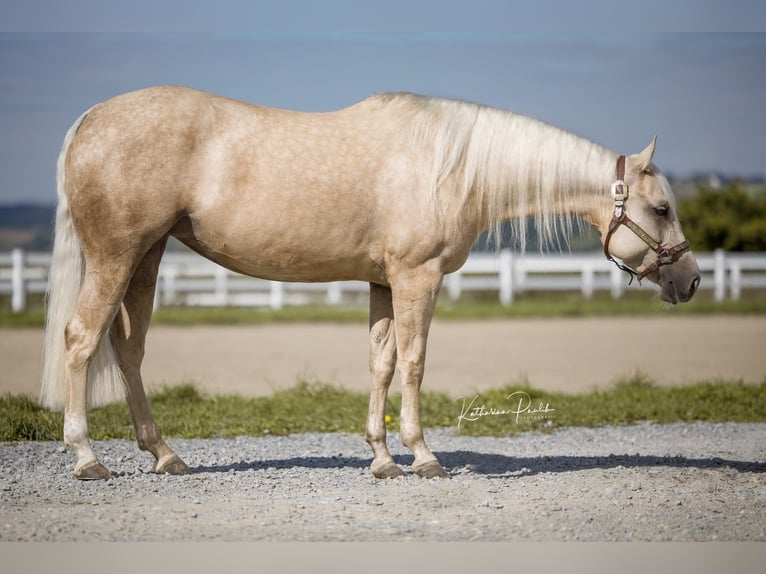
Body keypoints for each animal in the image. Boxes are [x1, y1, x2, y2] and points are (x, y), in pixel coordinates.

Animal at [41, 86, 700, 480]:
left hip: (146, 257)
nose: (690, 281)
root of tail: (89, 122)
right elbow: (413, 361)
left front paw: (382, 457)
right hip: (117, 255)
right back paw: (87, 457)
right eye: (662, 208)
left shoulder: (384, 284)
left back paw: (165, 454)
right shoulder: (417, 277)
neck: (452, 166)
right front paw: (424, 456)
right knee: (81, 339)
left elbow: (382, 362)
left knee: (127, 349)